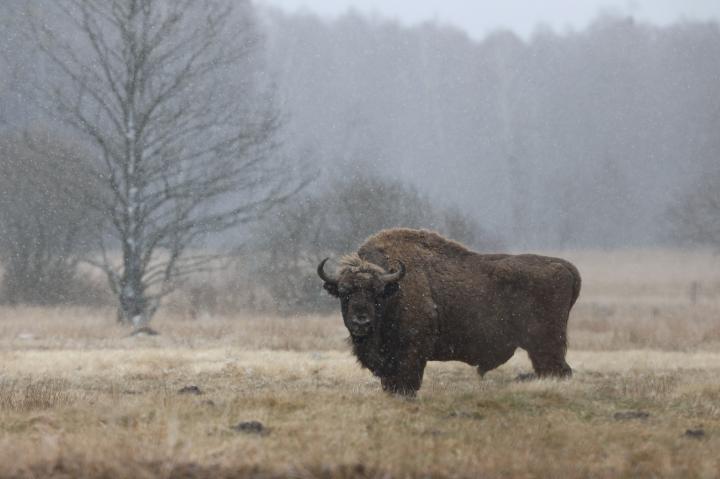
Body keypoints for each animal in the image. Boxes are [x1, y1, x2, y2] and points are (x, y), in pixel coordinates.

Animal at [317, 228, 581, 396]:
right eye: (344, 292)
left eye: (378, 293)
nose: (361, 322)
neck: (396, 290)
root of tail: (565, 267)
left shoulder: (411, 355)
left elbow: (407, 385)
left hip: (545, 345)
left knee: (559, 371)